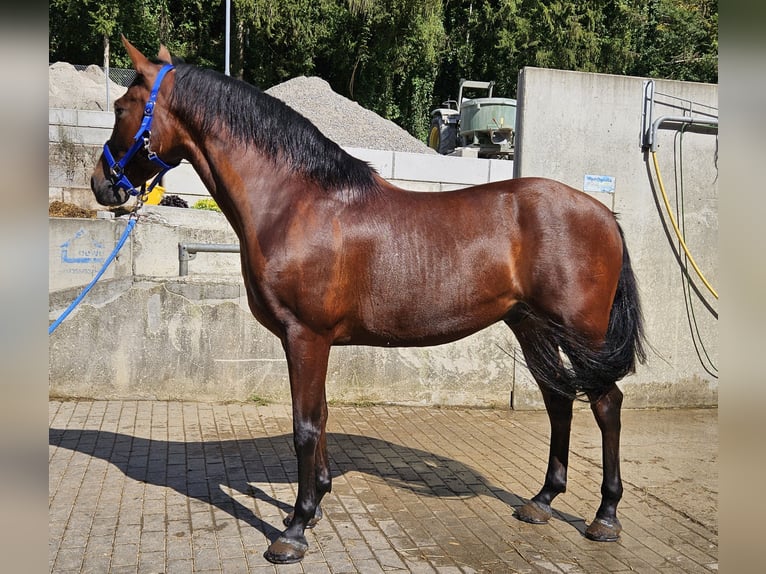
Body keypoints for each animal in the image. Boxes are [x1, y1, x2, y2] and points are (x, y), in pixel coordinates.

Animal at [94, 39, 648, 568]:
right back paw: (542, 501)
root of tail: (605, 214)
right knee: (559, 400)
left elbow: (305, 426)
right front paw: (314, 504)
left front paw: (294, 530)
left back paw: (605, 516)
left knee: (606, 404)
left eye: (122, 107)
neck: (295, 202)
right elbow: (319, 415)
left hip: (581, 333)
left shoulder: (305, 336)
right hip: (532, 328)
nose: (102, 183)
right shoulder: (313, 342)